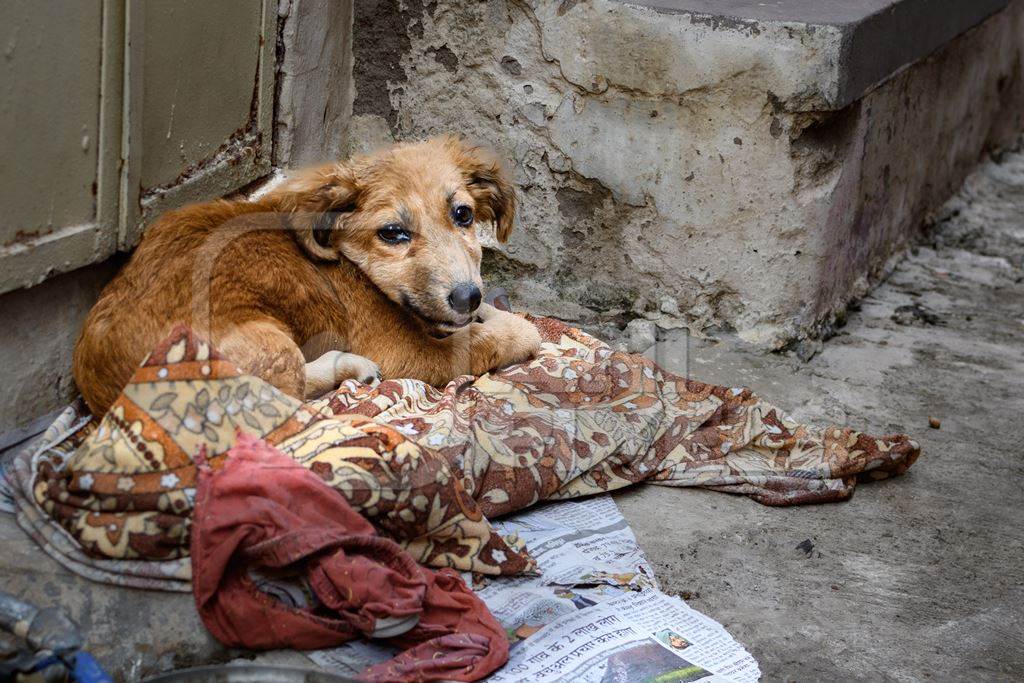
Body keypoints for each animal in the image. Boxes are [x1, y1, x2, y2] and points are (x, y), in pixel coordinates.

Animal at [72, 136, 544, 417]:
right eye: (392, 233)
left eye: (463, 214)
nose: (467, 297)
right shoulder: (407, 353)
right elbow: (500, 336)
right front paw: (507, 324)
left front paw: (486, 310)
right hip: (267, 342)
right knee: (289, 398)